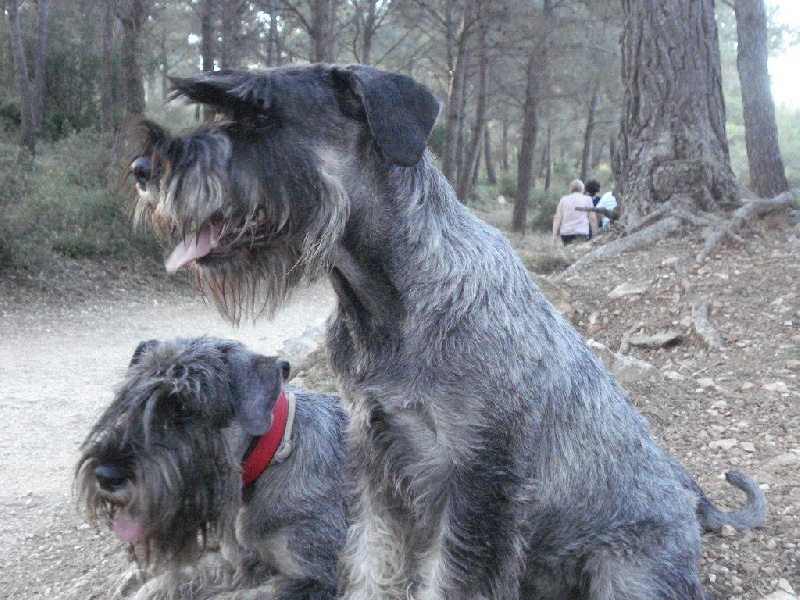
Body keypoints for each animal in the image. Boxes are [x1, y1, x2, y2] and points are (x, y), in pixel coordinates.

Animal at [75, 338, 346, 600]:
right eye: (127, 400)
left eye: (184, 409)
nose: (106, 476)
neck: (271, 457)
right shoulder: (236, 559)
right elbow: (181, 575)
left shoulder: (315, 579)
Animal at [133, 63, 768, 596]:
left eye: (263, 115)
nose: (142, 170)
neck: (385, 305)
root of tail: (692, 504)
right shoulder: (377, 468)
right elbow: (370, 564)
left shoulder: (476, 484)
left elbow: (450, 577)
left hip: (627, 571)